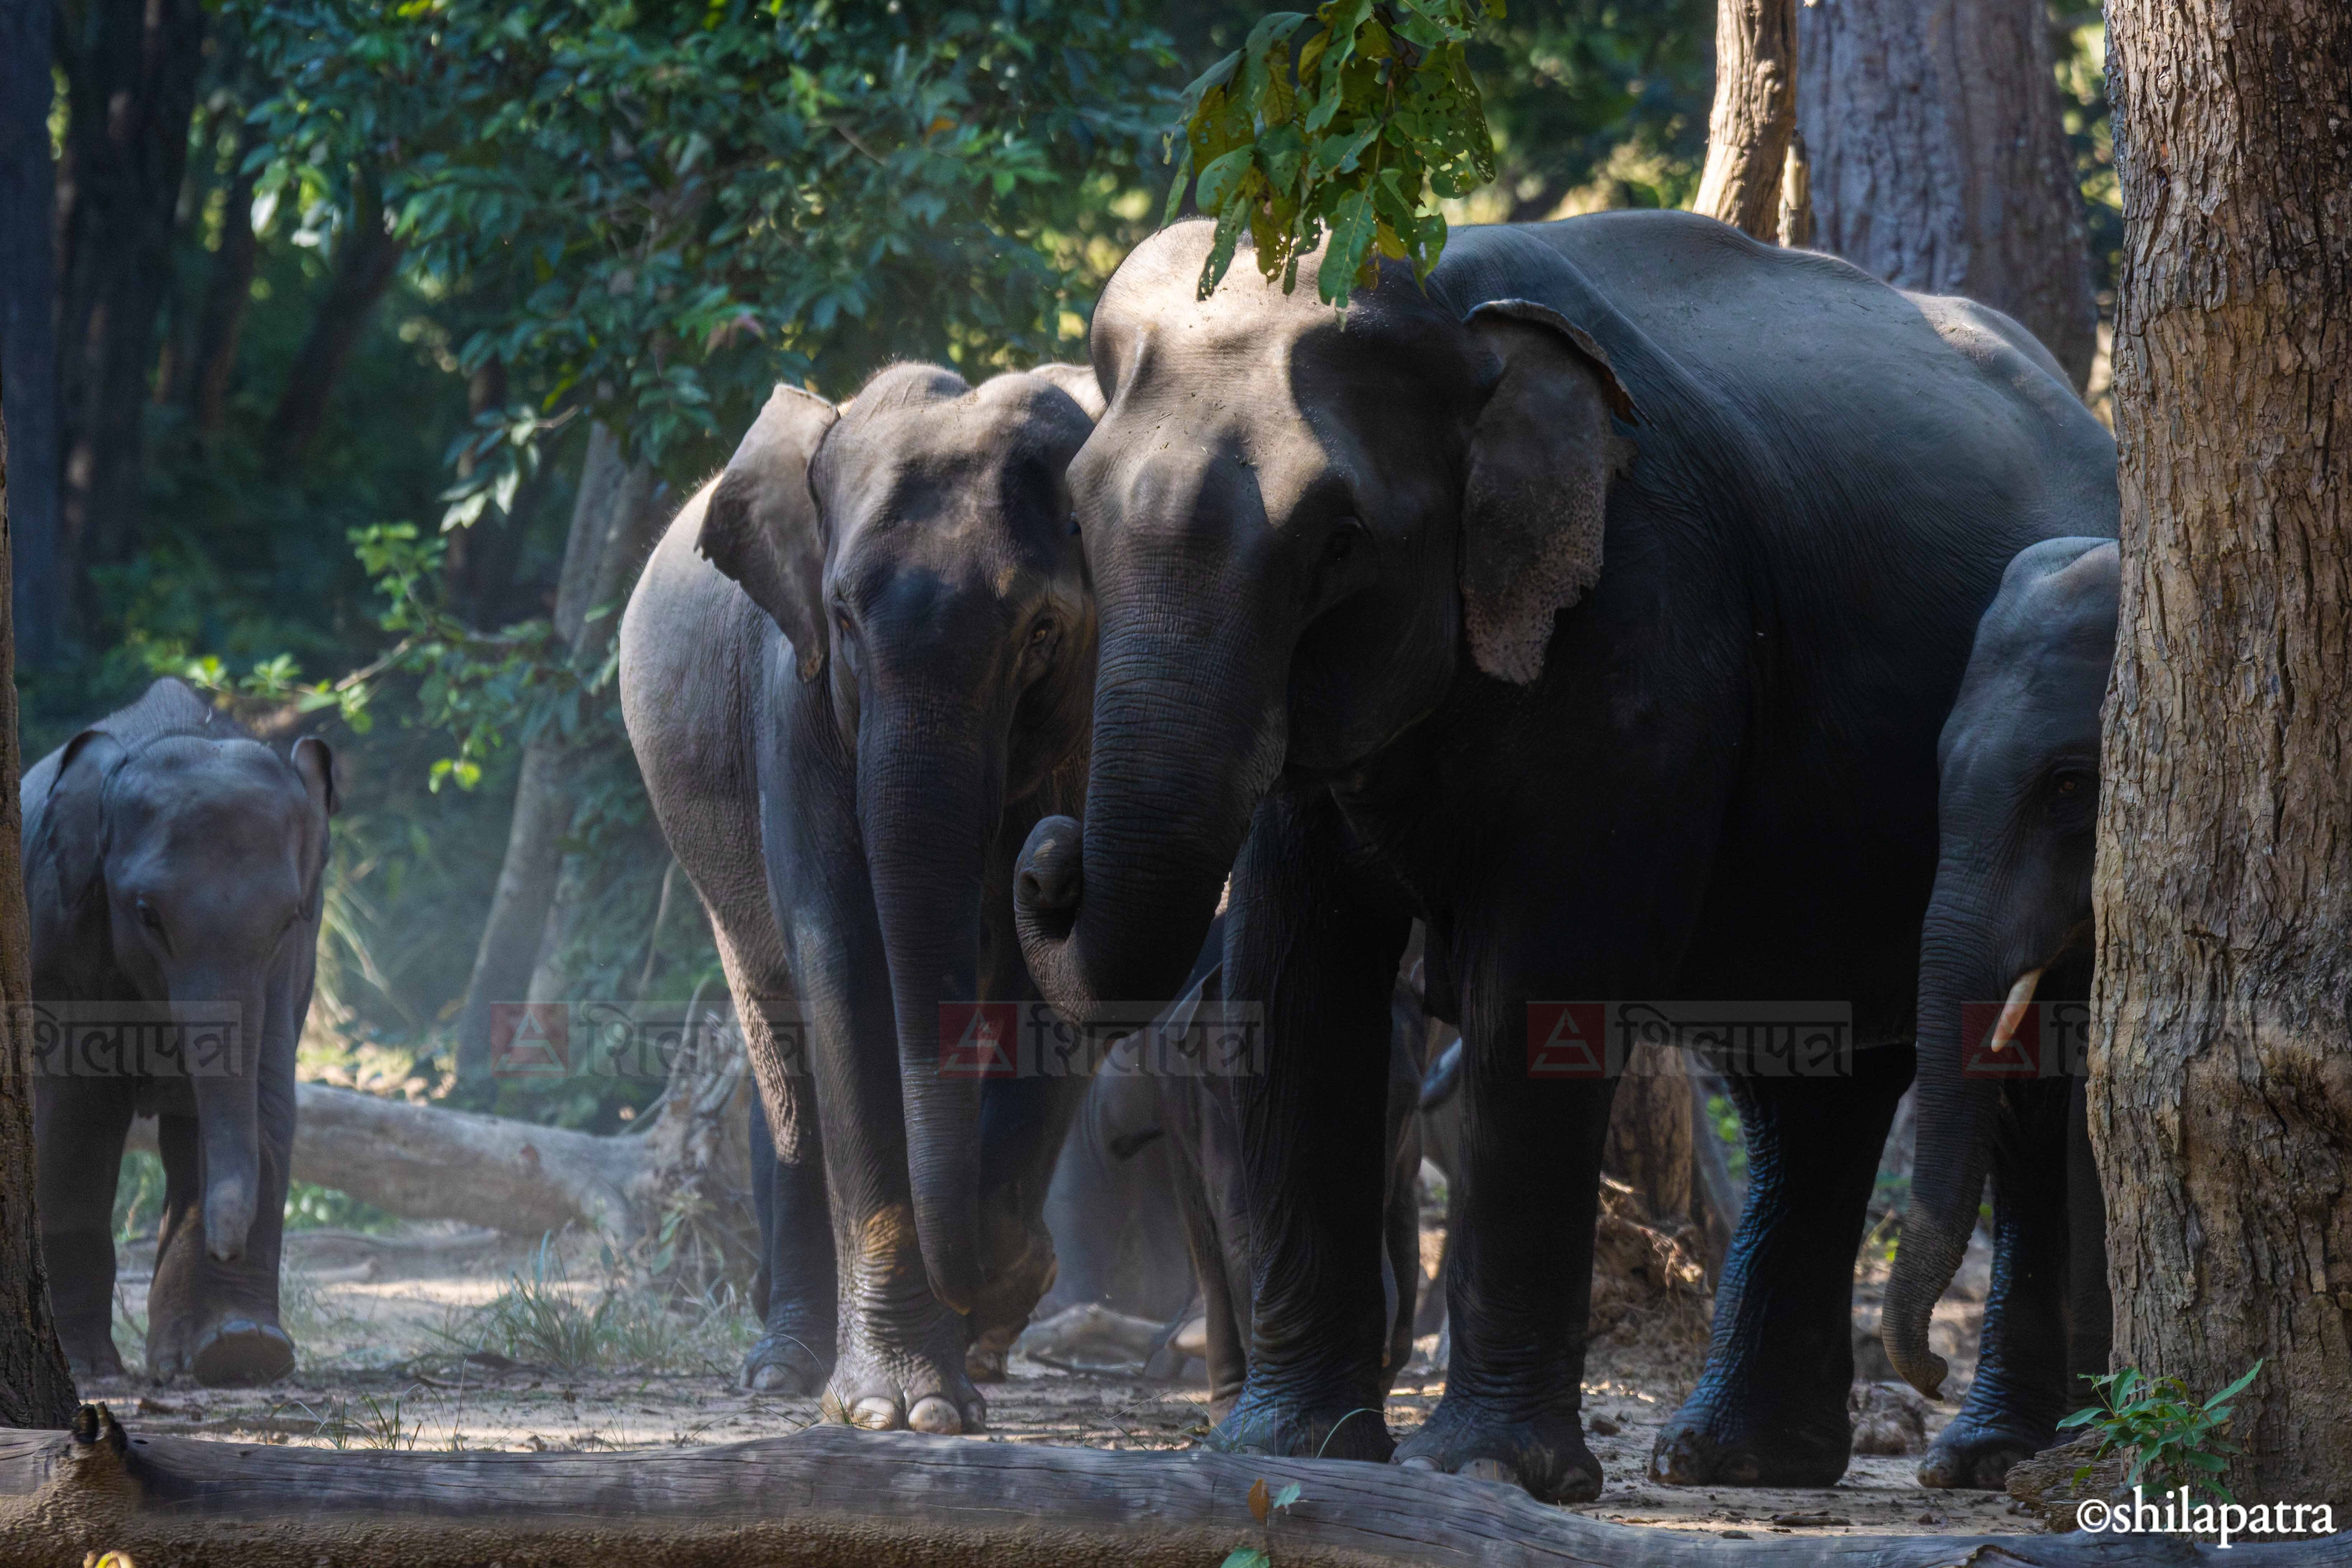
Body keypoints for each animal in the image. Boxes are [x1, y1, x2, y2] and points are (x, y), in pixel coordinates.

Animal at [24, 677, 336, 1386]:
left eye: (288, 919)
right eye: (147, 914)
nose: (226, 1249)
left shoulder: (295, 963)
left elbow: (267, 1098)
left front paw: (246, 1350)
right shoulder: (58, 928)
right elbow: (77, 1116)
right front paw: (88, 1368)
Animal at [620, 361, 1111, 1433]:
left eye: (1044, 630)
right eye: (843, 615)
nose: (1047, 855)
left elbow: (1061, 983)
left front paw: (1006, 1285)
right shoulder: (793, 696)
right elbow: (841, 956)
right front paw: (903, 1410)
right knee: (784, 1048)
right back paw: (785, 1368)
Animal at [1010, 210, 2118, 1501]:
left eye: (1340, 541)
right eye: (1080, 521)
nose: (1048, 854)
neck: (1452, 301)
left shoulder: (1645, 622)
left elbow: (1540, 973)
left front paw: (1484, 1471)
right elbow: (1295, 972)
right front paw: (1289, 1446)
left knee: (2014, 1082)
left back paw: (1970, 1456)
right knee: (1812, 1083)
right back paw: (1740, 1459)